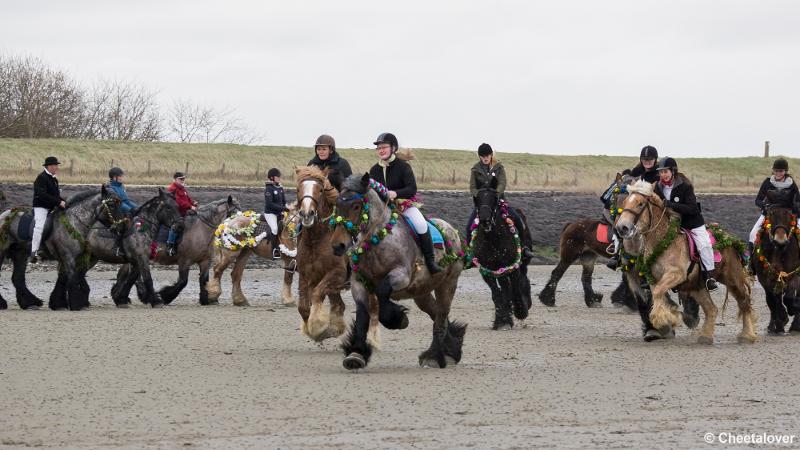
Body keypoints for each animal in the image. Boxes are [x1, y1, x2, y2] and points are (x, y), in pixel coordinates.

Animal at [290, 165, 346, 342]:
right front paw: (318, 330)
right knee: (339, 305)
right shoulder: (306, 275)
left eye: (320, 190)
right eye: (298, 189)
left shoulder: (337, 273)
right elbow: (303, 306)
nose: (307, 214)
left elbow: (316, 294)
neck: (317, 240)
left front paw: (317, 326)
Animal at [332, 173, 468, 370]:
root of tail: (451, 230)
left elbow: (382, 293)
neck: (376, 240)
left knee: (441, 317)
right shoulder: (359, 283)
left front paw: (397, 319)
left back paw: (434, 357)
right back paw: (450, 350)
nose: (338, 246)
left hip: (448, 284)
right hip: (422, 292)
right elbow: (362, 317)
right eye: (336, 205)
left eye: (356, 206)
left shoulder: (401, 276)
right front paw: (356, 354)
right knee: (435, 314)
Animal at [468, 183, 532, 330]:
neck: (493, 239)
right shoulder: (486, 270)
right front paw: (501, 320)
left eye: (494, 199)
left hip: (520, 263)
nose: (485, 220)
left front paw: (520, 312)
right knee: (505, 289)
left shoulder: (511, 266)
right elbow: (497, 294)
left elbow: (515, 289)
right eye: (477, 199)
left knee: (521, 281)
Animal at [612, 179, 756, 344]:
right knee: (711, 308)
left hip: (732, 279)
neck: (664, 242)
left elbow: (658, 293)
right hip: (698, 286)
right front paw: (667, 320)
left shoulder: (676, 274)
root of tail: (731, 240)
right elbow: (657, 293)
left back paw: (747, 335)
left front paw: (666, 319)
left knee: (744, 301)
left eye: (640, 203)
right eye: (624, 202)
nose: (622, 228)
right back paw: (706, 336)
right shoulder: (654, 278)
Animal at [752, 190, 800, 334]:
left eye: (790, 214)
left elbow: (789, 297)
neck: (780, 251)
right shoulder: (766, 278)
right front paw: (780, 321)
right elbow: (773, 299)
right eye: (771, 213)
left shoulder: (795, 274)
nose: (780, 240)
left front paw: (792, 311)